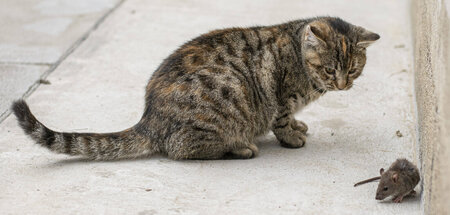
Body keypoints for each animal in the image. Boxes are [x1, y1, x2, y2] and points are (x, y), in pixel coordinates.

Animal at [12, 16, 380, 160]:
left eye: (353, 70)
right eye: (330, 69)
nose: (342, 85)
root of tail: (149, 119)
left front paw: (300, 125)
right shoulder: (281, 98)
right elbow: (282, 119)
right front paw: (292, 136)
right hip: (223, 103)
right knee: (182, 148)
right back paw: (240, 147)